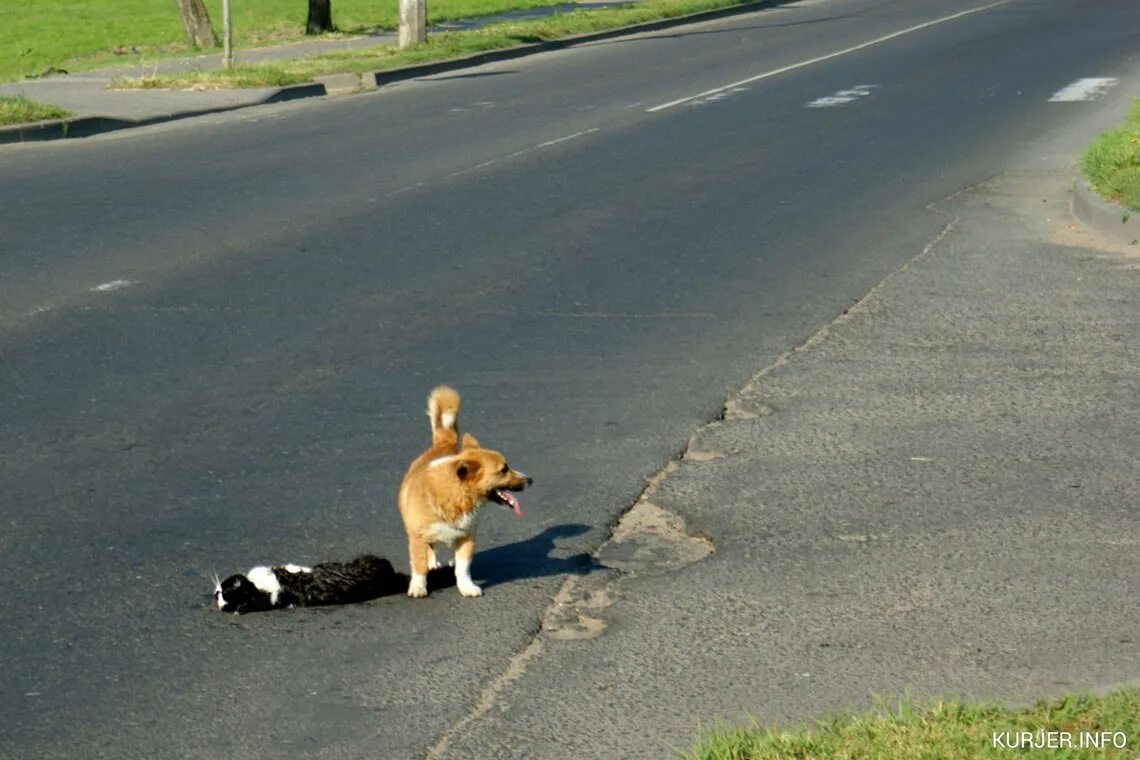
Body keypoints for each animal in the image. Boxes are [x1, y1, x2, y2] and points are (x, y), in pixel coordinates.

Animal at [396, 389, 528, 597]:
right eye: (503, 470)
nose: (530, 480)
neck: (455, 495)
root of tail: (442, 445)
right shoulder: (417, 537)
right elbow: (419, 566)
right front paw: (418, 587)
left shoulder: (467, 537)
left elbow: (463, 568)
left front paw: (466, 587)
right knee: (430, 550)